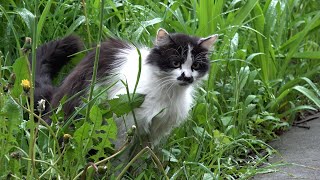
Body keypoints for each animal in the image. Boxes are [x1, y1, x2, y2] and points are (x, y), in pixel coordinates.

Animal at [33, 27, 218, 153]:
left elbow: (140, 160)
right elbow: (119, 160)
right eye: (175, 63)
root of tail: (53, 99)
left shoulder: (152, 133)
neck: (168, 93)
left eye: (195, 66)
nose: (187, 77)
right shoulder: (124, 128)